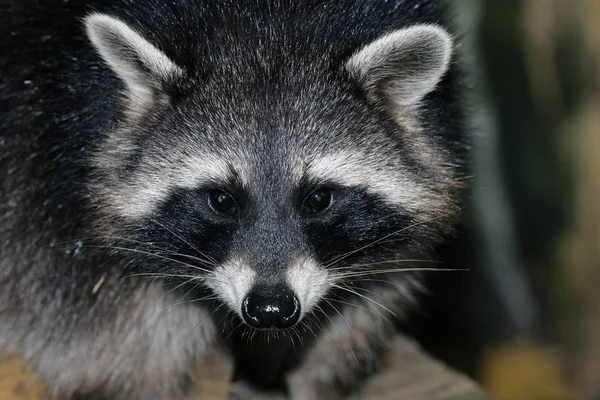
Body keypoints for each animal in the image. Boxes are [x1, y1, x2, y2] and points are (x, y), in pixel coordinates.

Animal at [0, 0, 468, 400]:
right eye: (221, 200)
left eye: (319, 198)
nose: (270, 309)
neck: (267, 30)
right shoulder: (47, 181)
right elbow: (103, 344)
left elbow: (356, 313)